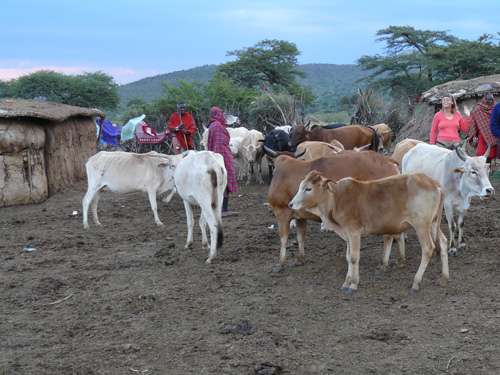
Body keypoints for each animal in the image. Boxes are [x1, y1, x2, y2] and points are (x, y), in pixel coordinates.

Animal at [266, 150, 402, 270]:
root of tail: (388, 160)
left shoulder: (281, 212)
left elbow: (283, 238)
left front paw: (281, 263)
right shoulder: (300, 216)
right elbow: (300, 237)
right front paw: (300, 259)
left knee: (388, 236)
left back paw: (384, 262)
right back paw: (401, 258)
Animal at [290, 171, 450, 294]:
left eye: (308, 188)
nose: (291, 204)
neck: (336, 199)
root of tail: (434, 184)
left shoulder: (354, 232)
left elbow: (354, 257)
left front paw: (353, 284)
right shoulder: (347, 234)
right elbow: (348, 257)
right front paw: (346, 282)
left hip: (421, 225)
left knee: (428, 248)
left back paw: (416, 282)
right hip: (433, 223)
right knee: (443, 242)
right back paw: (444, 277)